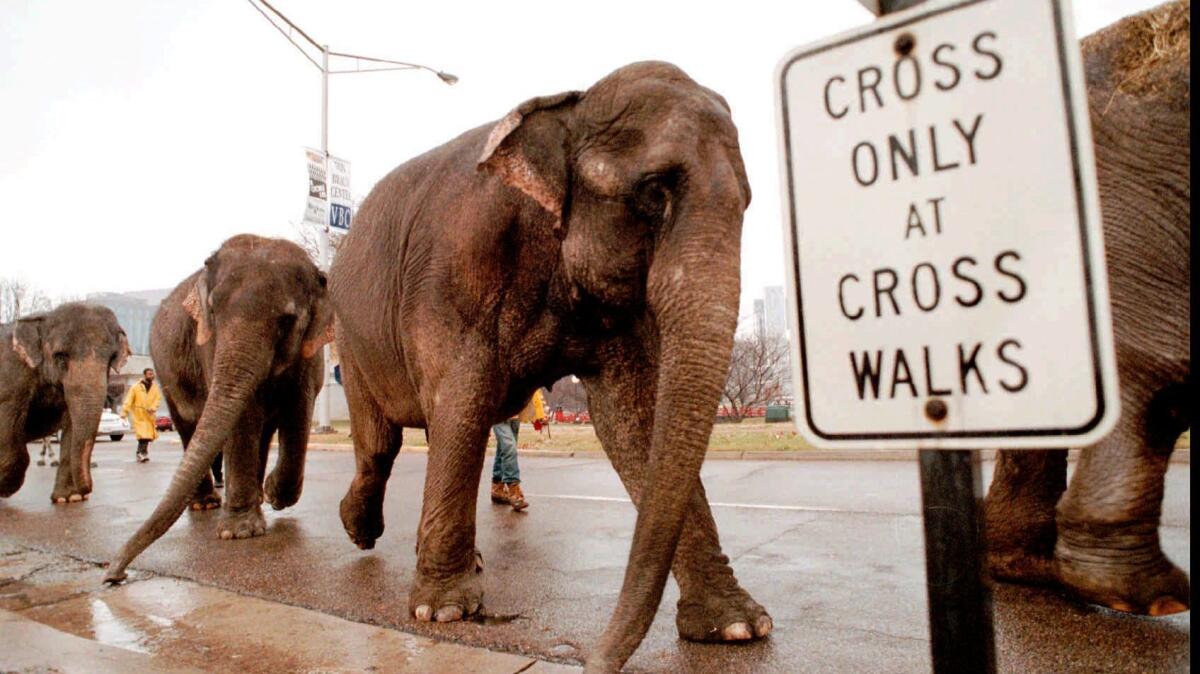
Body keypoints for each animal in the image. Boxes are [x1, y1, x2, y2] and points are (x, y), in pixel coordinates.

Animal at [0, 302, 130, 501]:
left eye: (111, 360)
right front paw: (6, 487)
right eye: (60, 356)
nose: (88, 491)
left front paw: (69, 498)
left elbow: (71, 424)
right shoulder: (10, 378)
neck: (44, 317)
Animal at [328, 60, 763, 666]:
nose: (594, 661)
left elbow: (634, 421)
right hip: (354, 338)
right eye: (652, 192)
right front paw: (443, 612)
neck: (567, 112)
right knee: (379, 444)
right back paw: (361, 531)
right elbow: (461, 404)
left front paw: (739, 628)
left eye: (747, 202)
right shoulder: (452, 275)